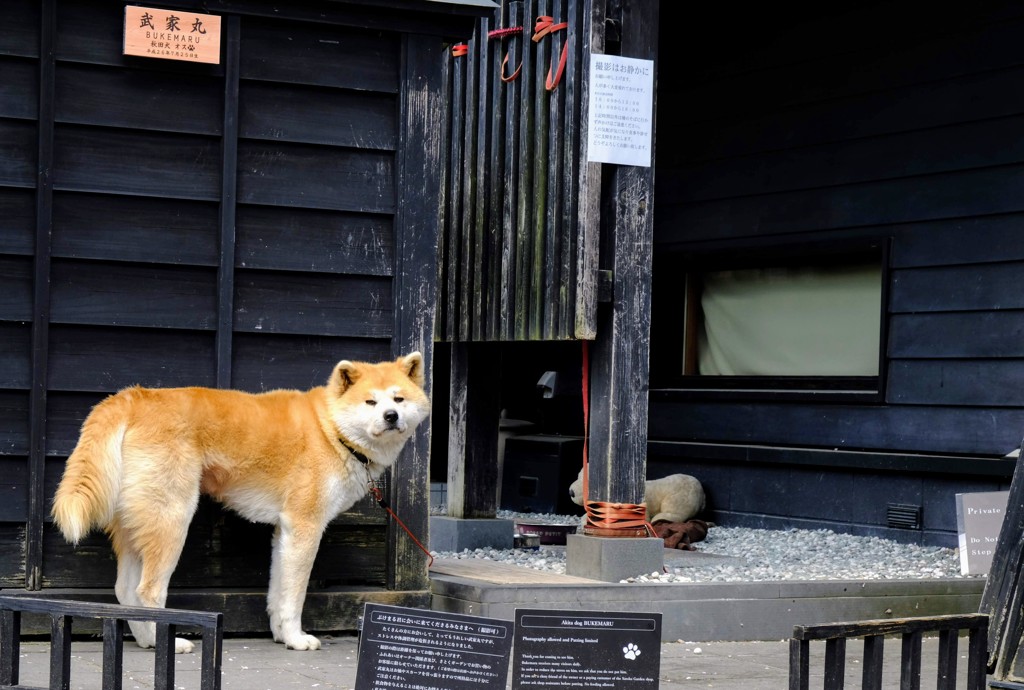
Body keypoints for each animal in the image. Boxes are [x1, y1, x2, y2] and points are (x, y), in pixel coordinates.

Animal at [50, 354, 428, 651]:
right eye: (370, 403)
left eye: (398, 399)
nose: (391, 416)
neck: (330, 430)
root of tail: (132, 397)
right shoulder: (305, 527)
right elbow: (294, 596)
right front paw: (297, 639)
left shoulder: (285, 532)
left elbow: (278, 593)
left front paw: (281, 635)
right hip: (172, 519)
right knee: (148, 591)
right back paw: (164, 642)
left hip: (137, 523)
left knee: (126, 591)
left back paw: (146, 642)